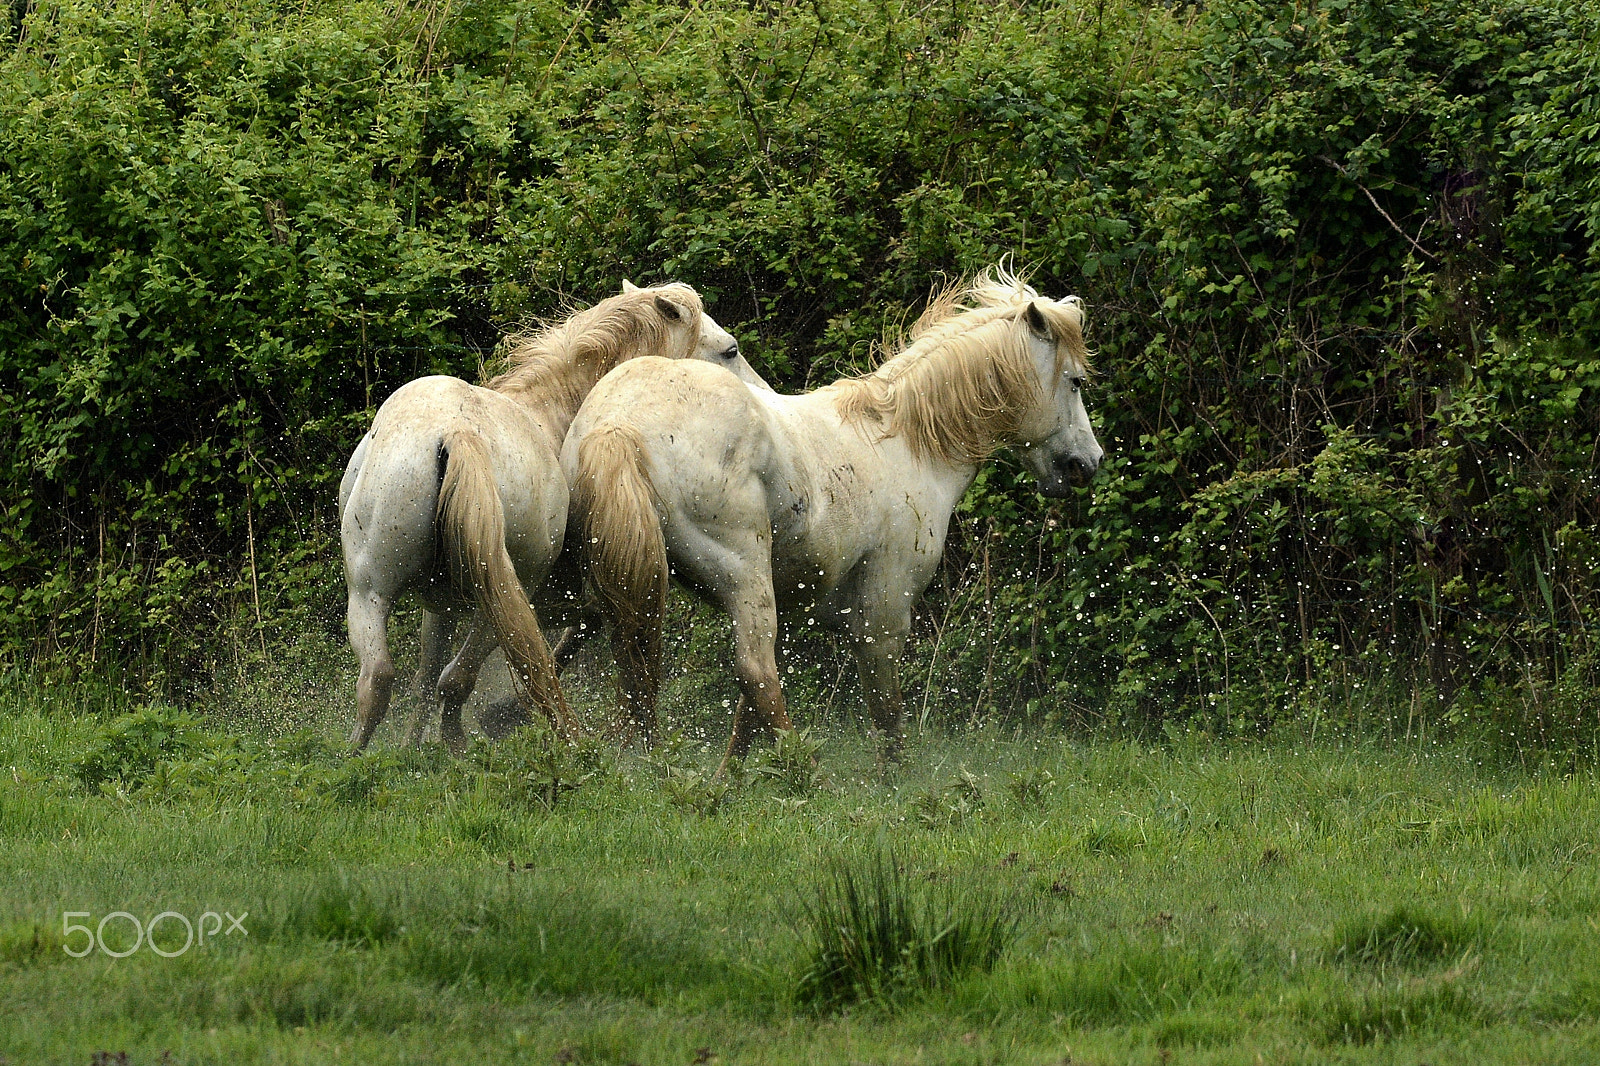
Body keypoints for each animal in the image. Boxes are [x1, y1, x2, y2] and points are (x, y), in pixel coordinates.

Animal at [339, 278, 768, 752]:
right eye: (730, 350)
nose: (764, 397)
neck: (553, 412)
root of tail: (460, 432)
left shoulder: (443, 606)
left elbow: (426, 678)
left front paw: (417, 747)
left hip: (375, 590)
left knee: (389, 679)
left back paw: (371, 758)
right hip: (493, 594)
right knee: (449, 680)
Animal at [560, 265, 1100, 765]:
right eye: (1075, 382)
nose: (1087, 464)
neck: (906, 441)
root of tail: (617, 424)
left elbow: (745, 720)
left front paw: (727, 786)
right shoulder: (883, 618)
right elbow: (887, 718)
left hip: (617, 584)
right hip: (743, 579)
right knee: (756, 673)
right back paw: (808, 774)